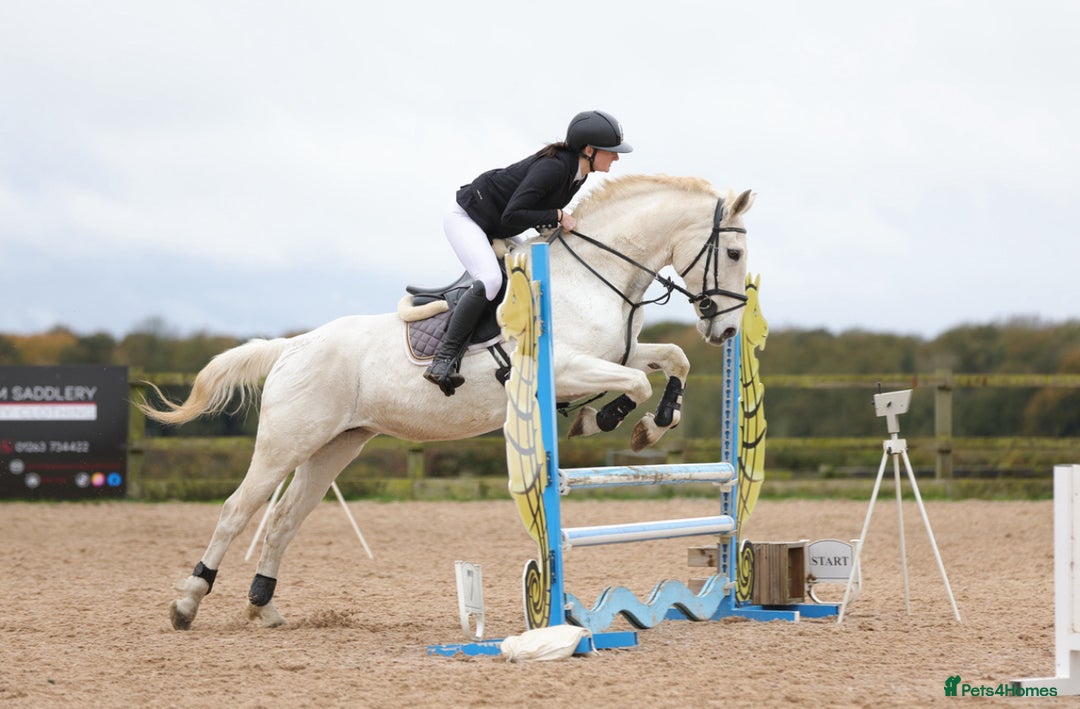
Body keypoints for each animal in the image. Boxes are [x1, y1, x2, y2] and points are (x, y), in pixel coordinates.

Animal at [140, 174, 755, 630]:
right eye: (732, 250)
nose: (727, 330)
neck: (593, 279)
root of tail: (293, 346)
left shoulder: (620, 353)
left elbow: (672, 359)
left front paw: (652, 426)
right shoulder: (563, 367)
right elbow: (636, 384)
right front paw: (603, 418)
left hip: (336, 445)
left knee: (285, 518)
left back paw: (265, 608)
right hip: (285, 443)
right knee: (237, 510)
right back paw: (186, 604)